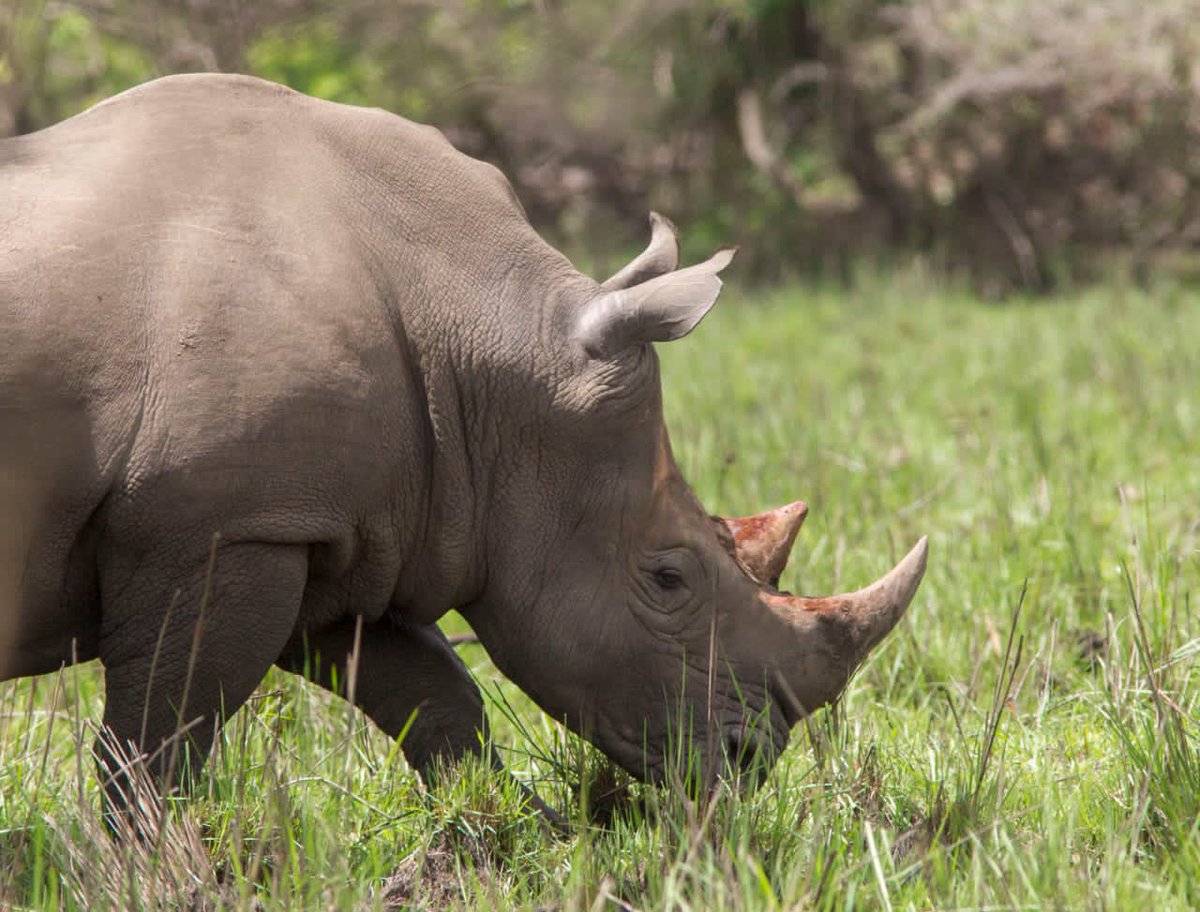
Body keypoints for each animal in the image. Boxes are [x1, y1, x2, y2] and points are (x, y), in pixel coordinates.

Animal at [0, 74, 927, 813]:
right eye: (668, 579)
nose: (745, 764)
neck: (488, 339)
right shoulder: (224, 525)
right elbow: (160, 740)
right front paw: (146, 864)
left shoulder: (323, 523)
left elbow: (435, 697)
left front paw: (517, 838)